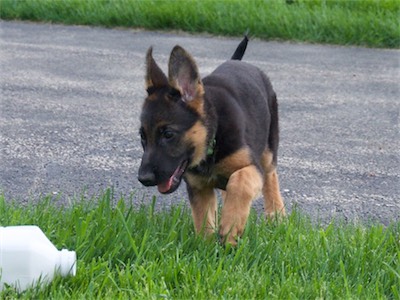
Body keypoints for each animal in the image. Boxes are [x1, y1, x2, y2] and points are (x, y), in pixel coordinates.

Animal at [139, 36, 286, 245]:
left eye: (168, 134)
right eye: (142, 136)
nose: (143, 178)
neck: (212, 138)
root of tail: (237, 62)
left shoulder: (251, 167)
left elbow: (240, 182)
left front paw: (230, 229)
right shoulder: (199, 188)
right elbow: (204, 220)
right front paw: (207, 246)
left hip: (268, 150)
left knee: (270, 177)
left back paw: (276, 215)